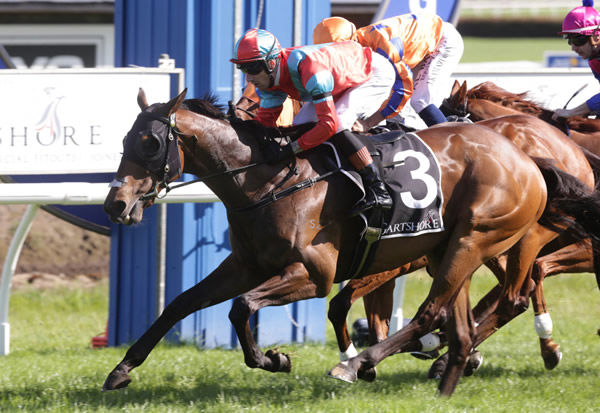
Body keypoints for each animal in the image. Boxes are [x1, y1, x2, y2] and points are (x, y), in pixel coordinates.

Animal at [101, 88, 588, 394]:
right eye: (123, 139)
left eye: (150, 142)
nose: (115, 204)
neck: (270, 182)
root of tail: (529, 158)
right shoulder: (246, 267)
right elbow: (180, 303)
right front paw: (121, 370)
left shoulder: (313, 274)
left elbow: (243, 308)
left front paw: (274, 360)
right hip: (453, 251)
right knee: (467, 317)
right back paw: (445, 368)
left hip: (475, 241)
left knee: (442, 310)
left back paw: (360, 363)